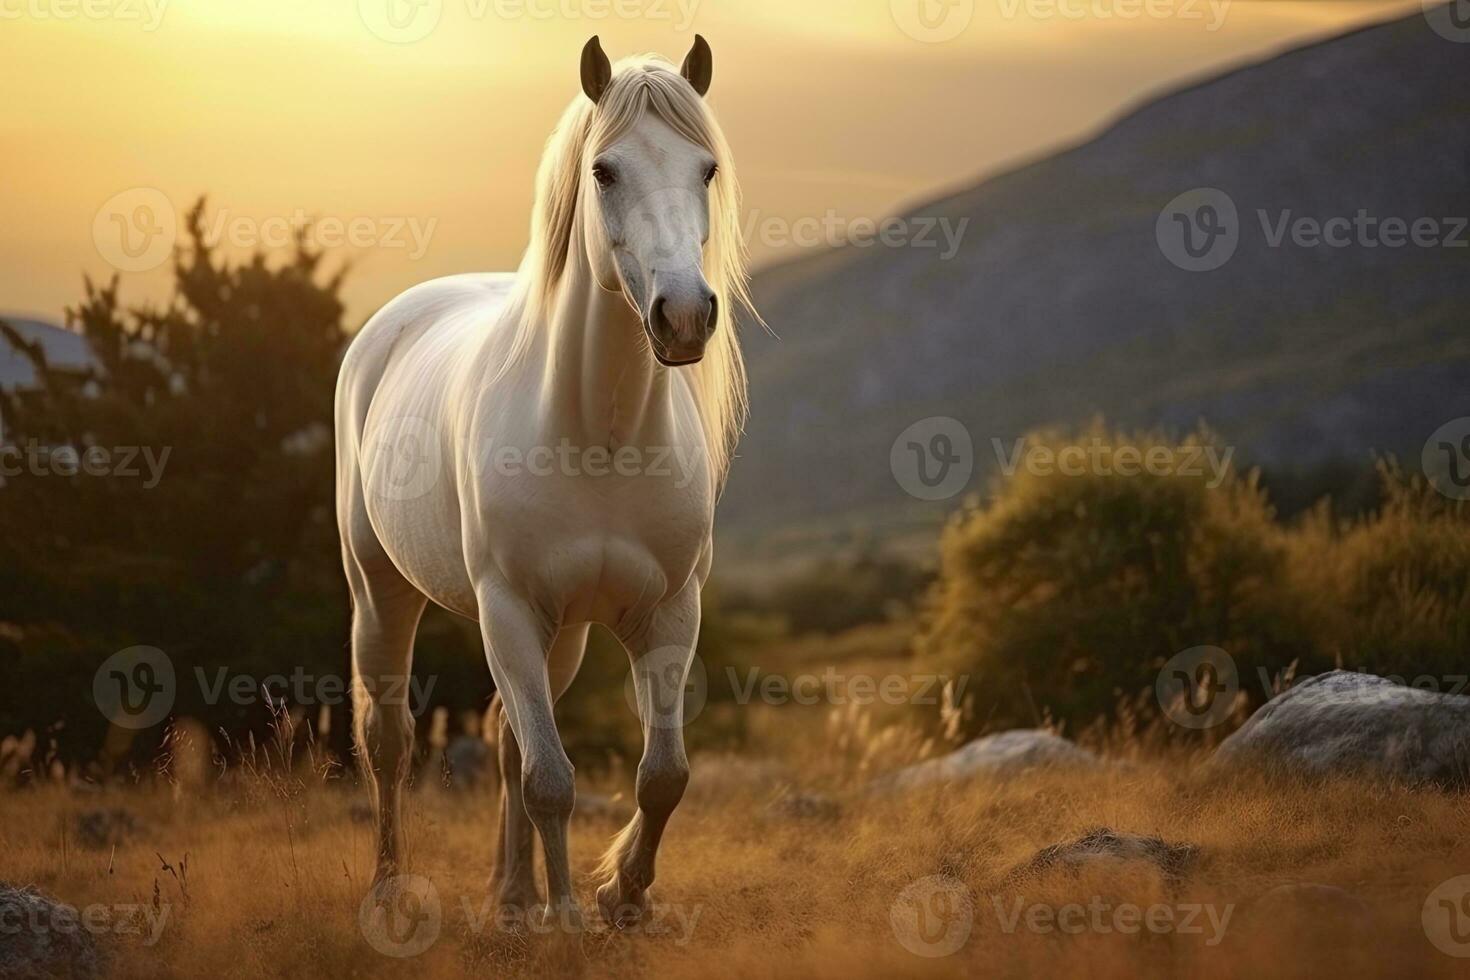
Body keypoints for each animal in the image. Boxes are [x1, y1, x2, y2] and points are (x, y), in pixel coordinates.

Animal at [336, 34, 752, 934]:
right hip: (383, 590)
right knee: (389, 739)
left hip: (562, 636)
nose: (683, 317)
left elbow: (661, 775)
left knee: (503, 738)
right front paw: (567, 915)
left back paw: (513, 894)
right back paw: (389, 890)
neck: (601, 437)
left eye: (706, 168)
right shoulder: (509, 611)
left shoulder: (669, 613)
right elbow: (552, 780)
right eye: (604, 170)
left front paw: (618, 894)